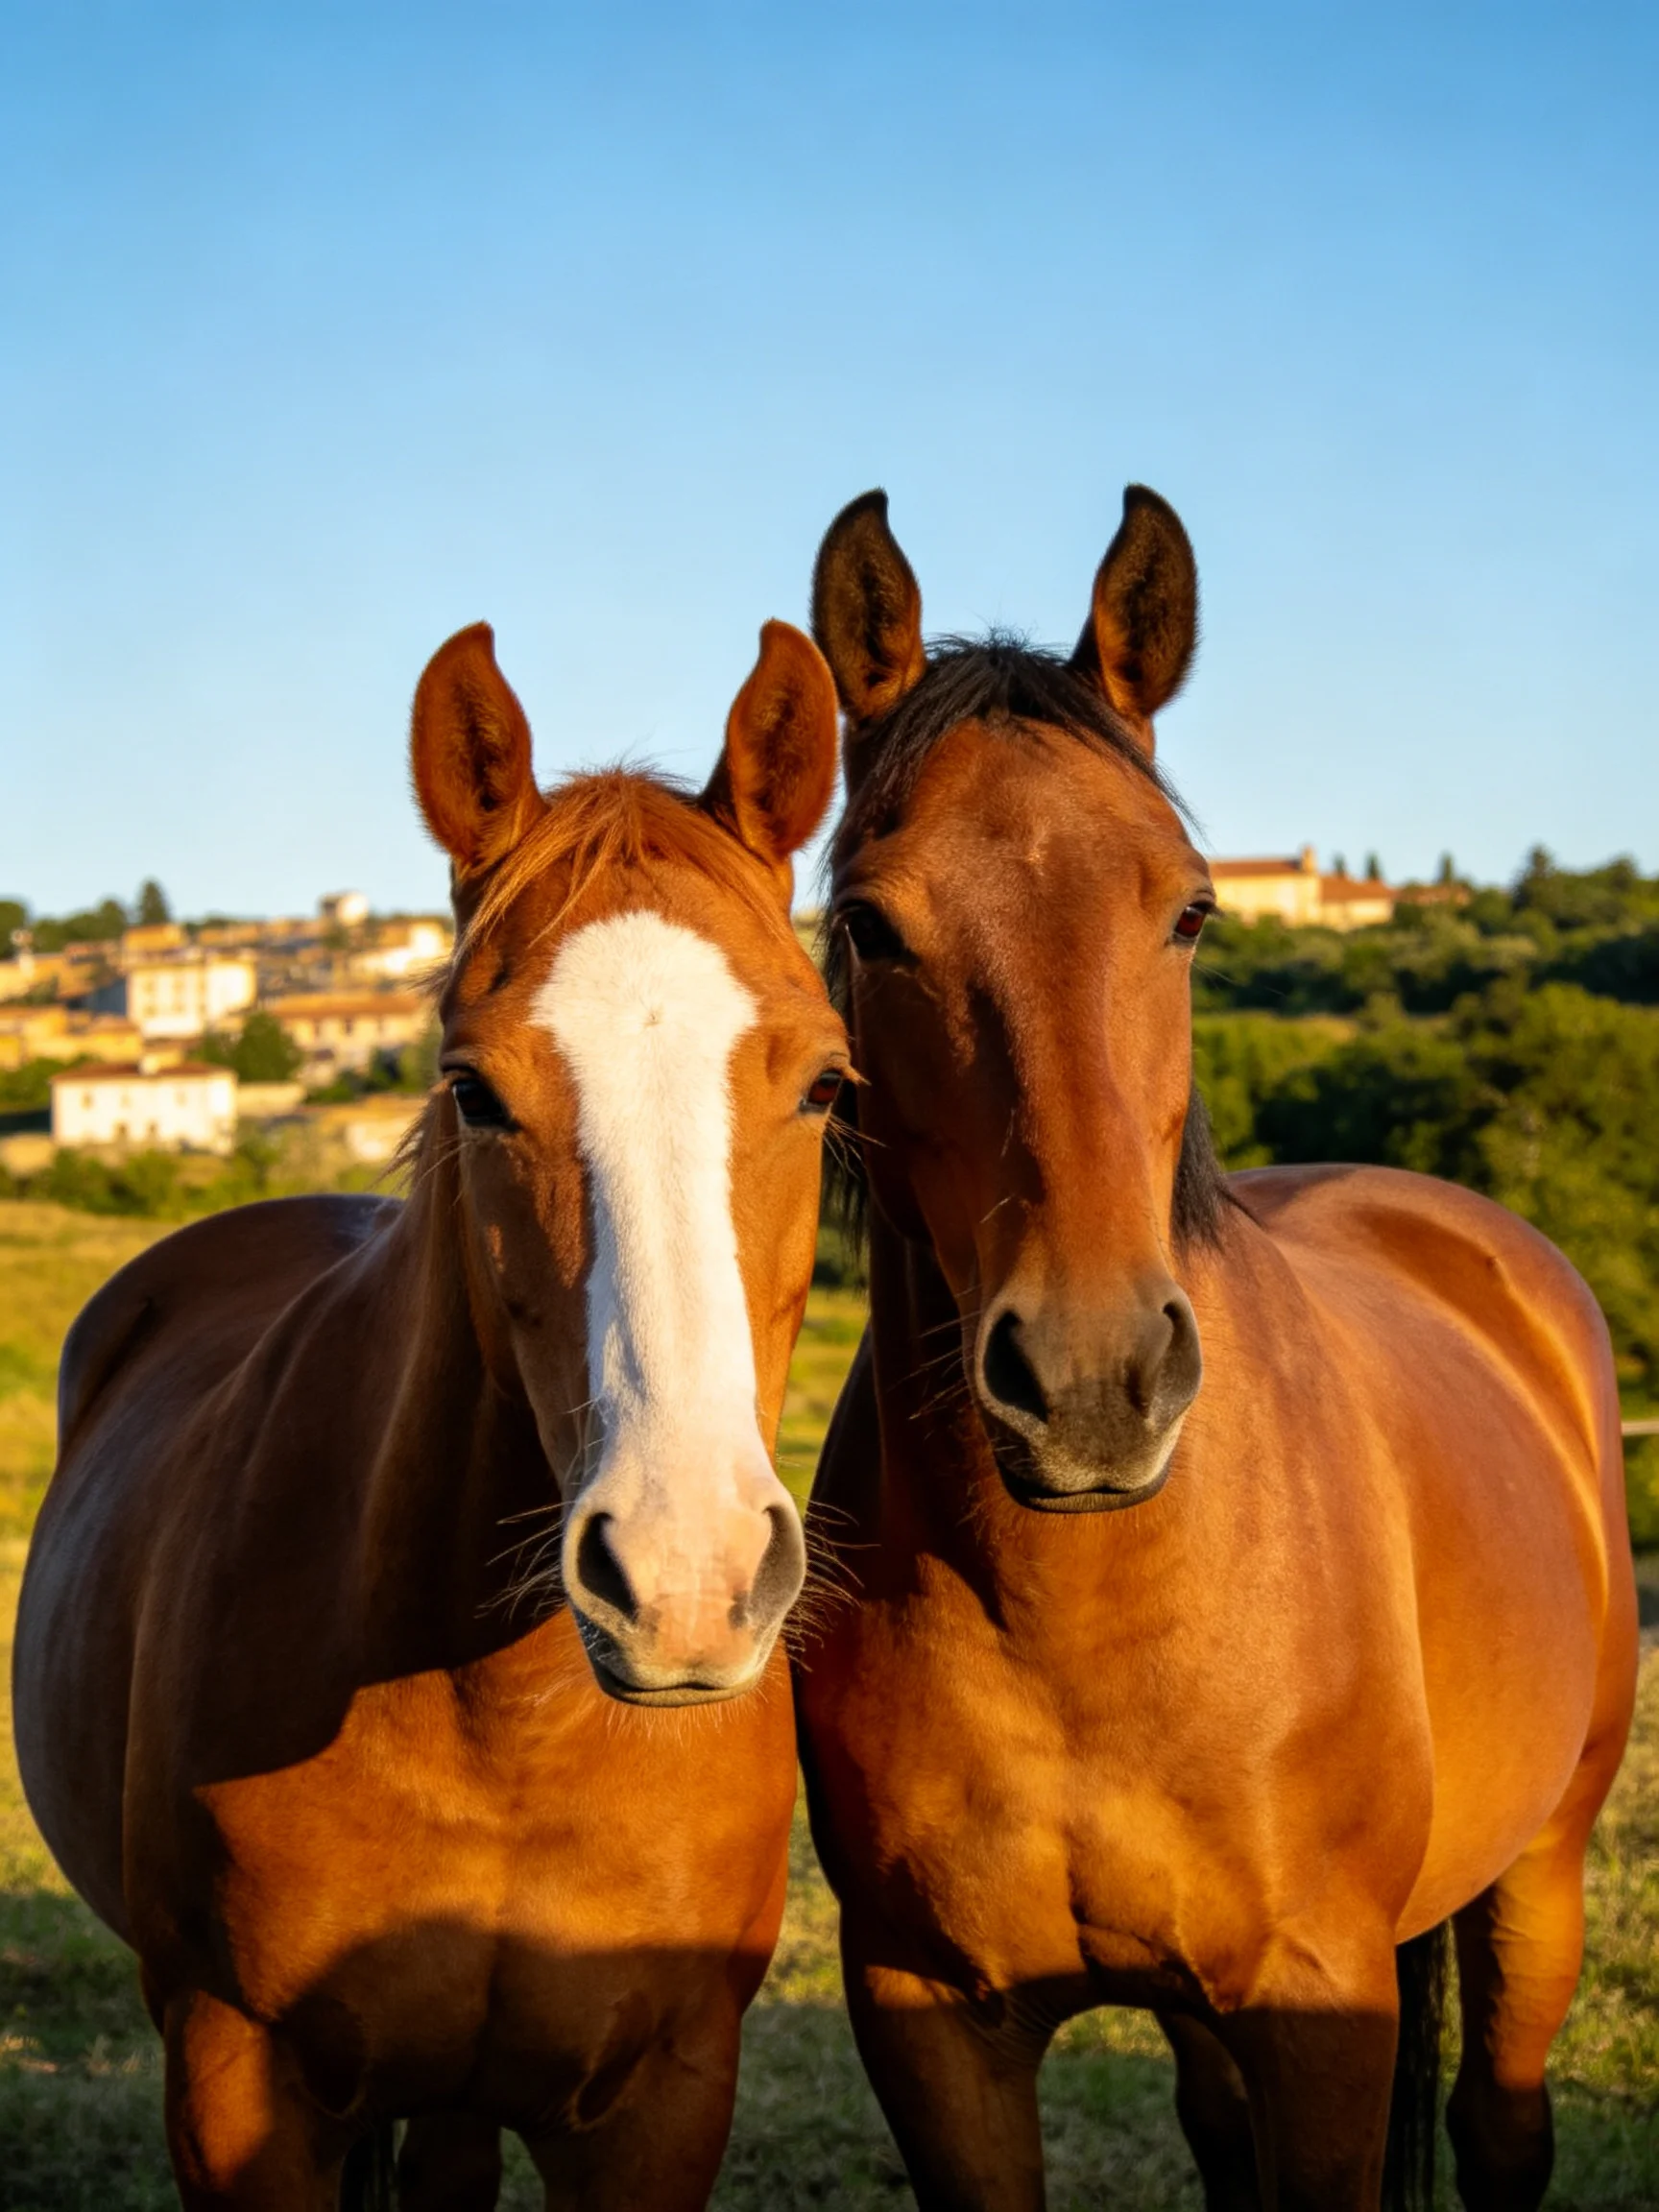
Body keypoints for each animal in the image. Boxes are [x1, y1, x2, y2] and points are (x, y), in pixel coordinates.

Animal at [13, 614, 849, 2209]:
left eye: (830, 1082)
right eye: (472, 1087)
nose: (686, 1578)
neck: (502, 1726)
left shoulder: (662, 2102)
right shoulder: (238, 2087)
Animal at [795, 487, 1638, 2212]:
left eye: (1189, 909)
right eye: (867, 924)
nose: (1092, 1383)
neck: (1082, 1612)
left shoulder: (1320, 2006)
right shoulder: (931, 2021)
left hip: (1541, 1859)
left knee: (1501, 2124)